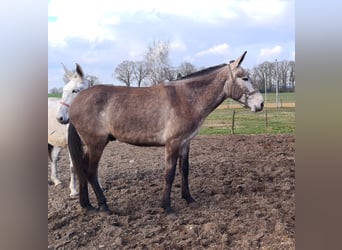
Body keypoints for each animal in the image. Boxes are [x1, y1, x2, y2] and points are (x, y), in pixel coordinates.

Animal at [48, 62, 93, 197]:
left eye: (75, 90)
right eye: (63, 90)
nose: (60, 118)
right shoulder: (70, 145)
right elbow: (73, 167)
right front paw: (73, 190)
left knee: (54, 158)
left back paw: (56, 181)